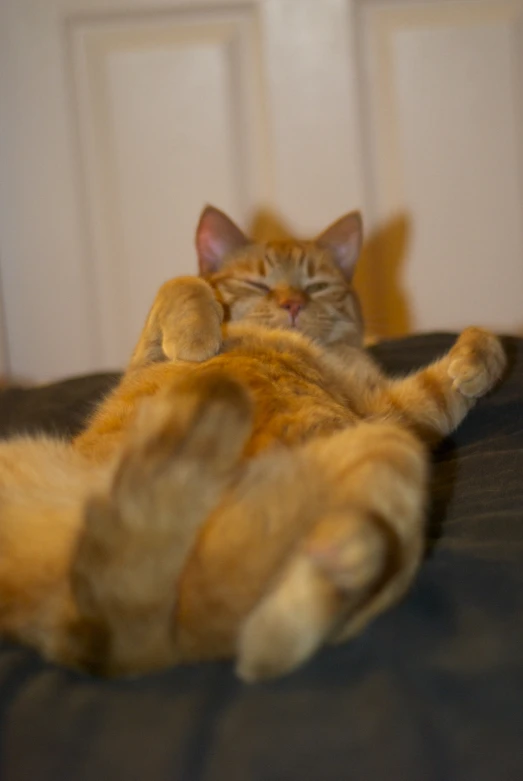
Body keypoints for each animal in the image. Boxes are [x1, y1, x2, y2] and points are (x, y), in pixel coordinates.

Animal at [0, 207, 508, 676]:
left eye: (317, 286)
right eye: (258, 284)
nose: (292, 304)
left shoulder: (394, 412)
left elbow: (469, 359)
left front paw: (473, 362)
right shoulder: (148, 352)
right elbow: (181, 284)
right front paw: (197, 338)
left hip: (386, 445)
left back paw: (326, 567)